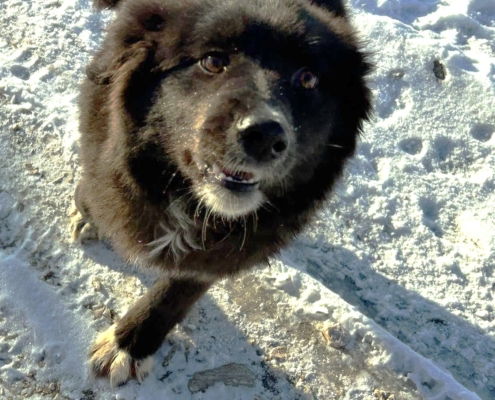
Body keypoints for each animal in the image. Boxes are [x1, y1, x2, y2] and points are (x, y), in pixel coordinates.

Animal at [71, 0, 371, 387]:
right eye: (213, 61)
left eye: (308, 79)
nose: (265, 135)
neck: (188, 200)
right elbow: (92, 196)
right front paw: (88, 215)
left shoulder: (225, 252)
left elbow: (176, 295)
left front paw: (130, 344)